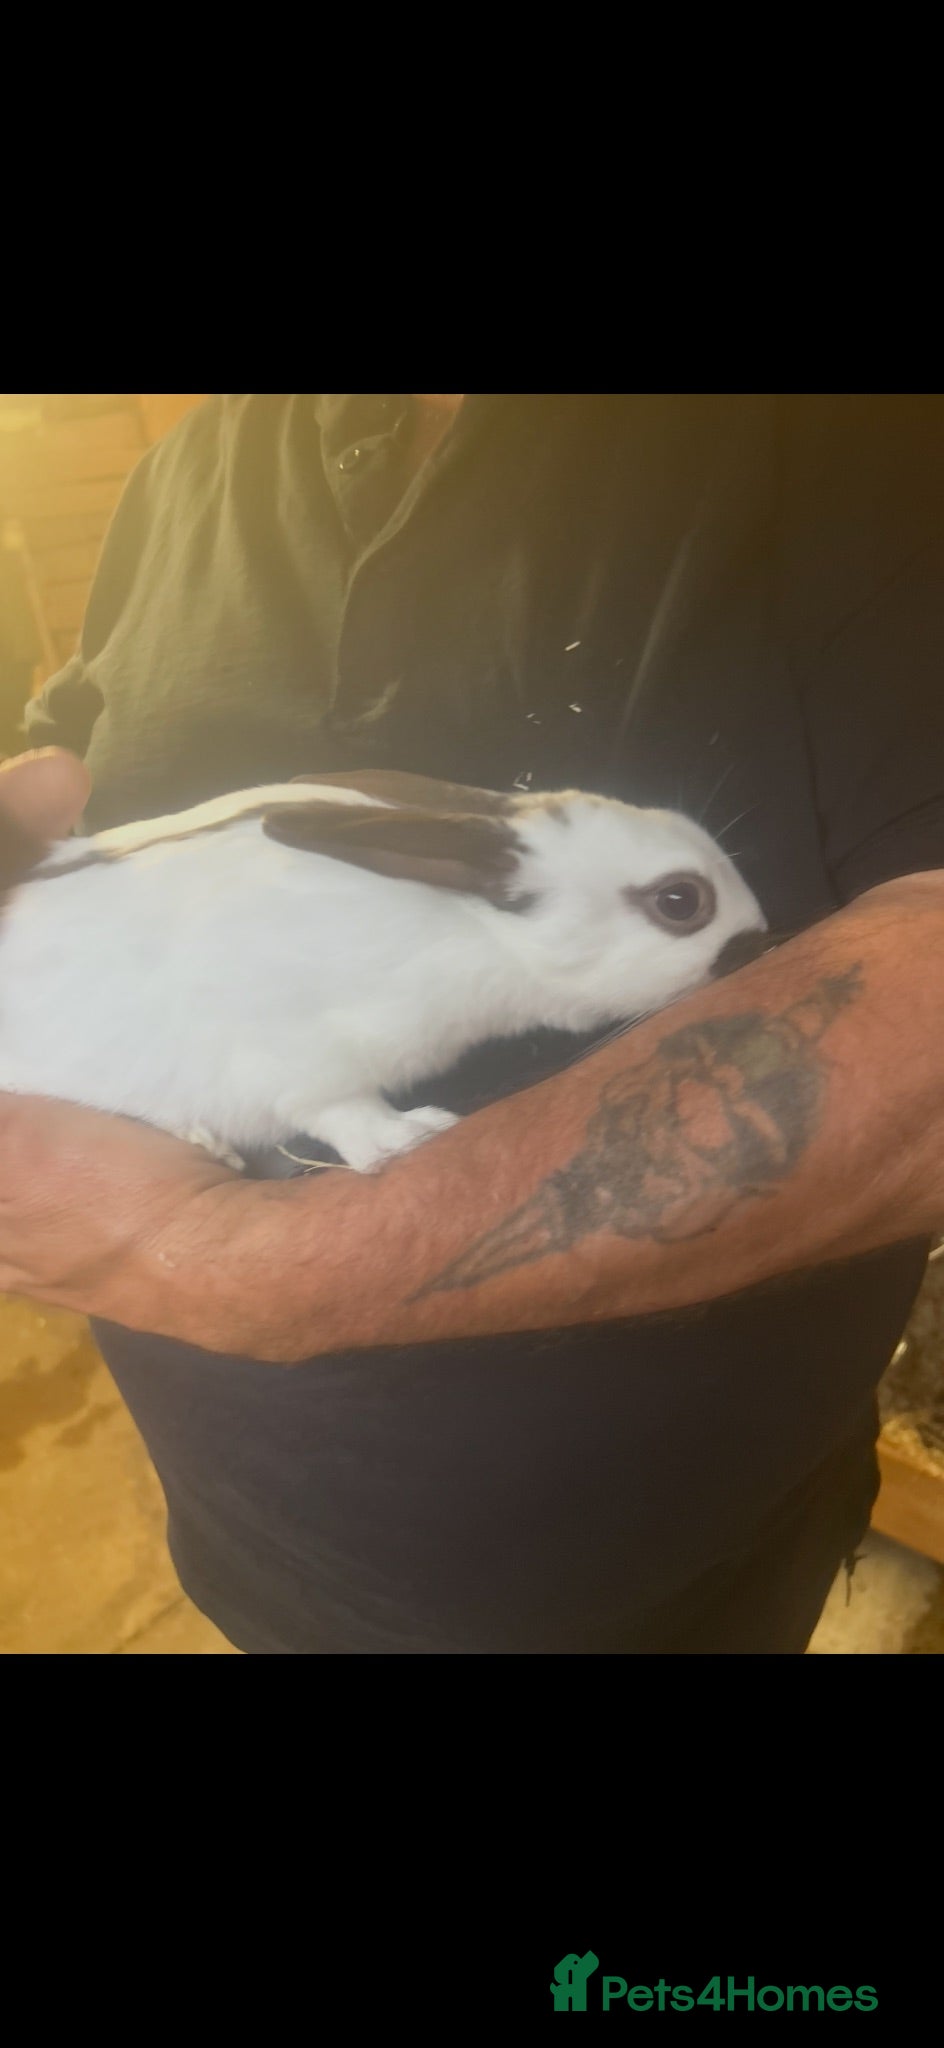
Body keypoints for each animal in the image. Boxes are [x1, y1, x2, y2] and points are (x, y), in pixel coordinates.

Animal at [0, 767, 767, 1174]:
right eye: (681, 901)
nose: (755, 942)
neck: (475, 931)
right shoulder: (295, 1055)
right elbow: (340, 1110)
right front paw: (411, 1136)